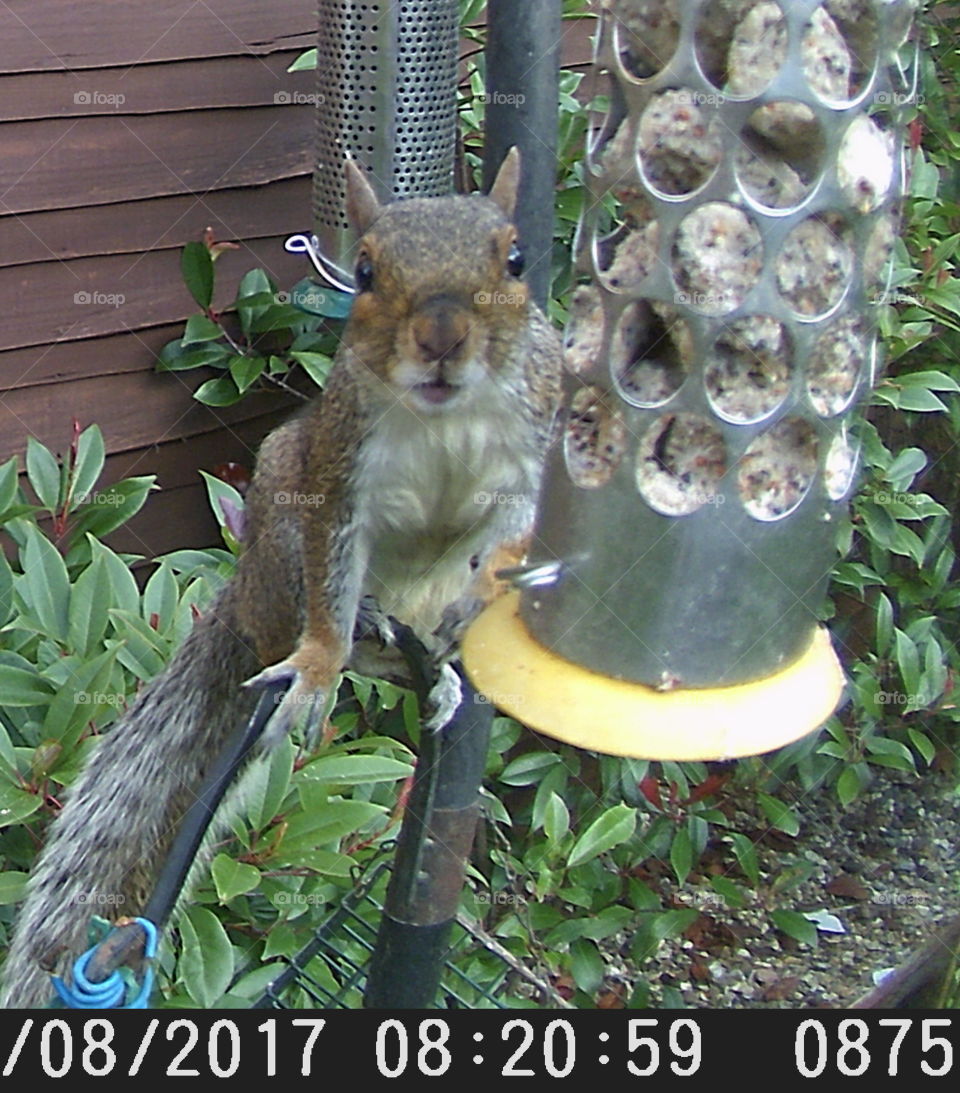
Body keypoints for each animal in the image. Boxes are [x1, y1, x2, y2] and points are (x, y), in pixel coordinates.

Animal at [0, 148, 563, 1008]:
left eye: (517, 259)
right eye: (365, 271)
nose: (440, 336)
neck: (444, 417)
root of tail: (241, 600)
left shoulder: (529, 456)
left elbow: (515, 531)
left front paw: (488, 596)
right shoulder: (337, 475)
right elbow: (332, 579)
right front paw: (321, 661)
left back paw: (438, 669)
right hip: (282, 533)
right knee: (328, 612)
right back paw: (355, 636)